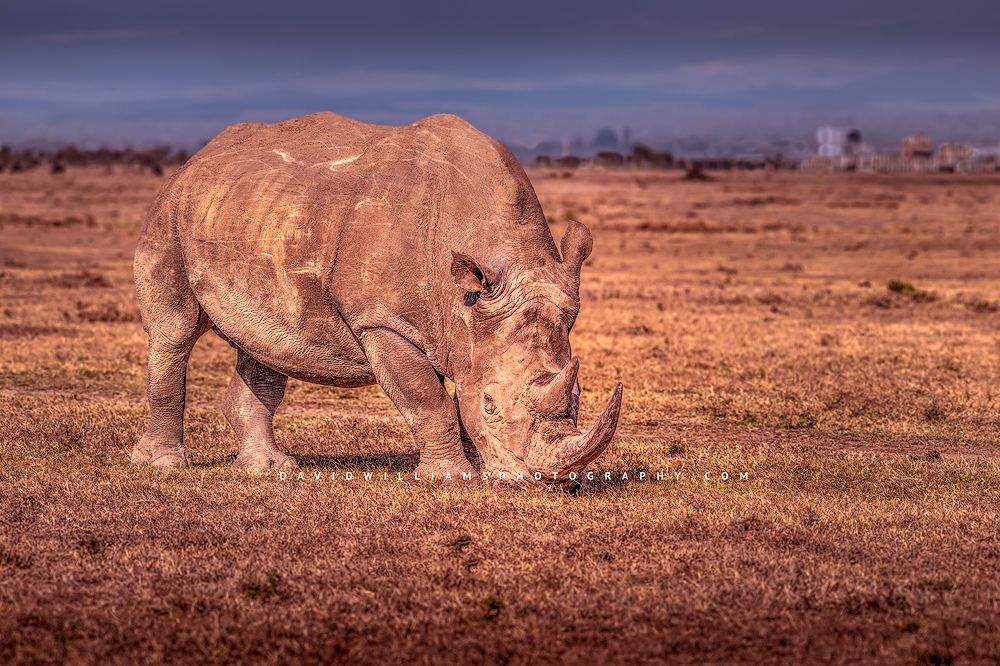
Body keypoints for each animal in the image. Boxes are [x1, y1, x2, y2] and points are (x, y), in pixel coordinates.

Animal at [131, 112, 622, 485]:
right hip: (170, 211)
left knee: (265, 346)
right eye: (491, 405)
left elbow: (448, 397)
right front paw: (452, 478)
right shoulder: (382, 321)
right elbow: (429, 399)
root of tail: (198, 157)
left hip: (254, 213)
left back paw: (269, 469)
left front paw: (475, 468)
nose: (548, 482)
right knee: (174, 332)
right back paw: (165, 464)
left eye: (579, 395)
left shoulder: (465, 324)